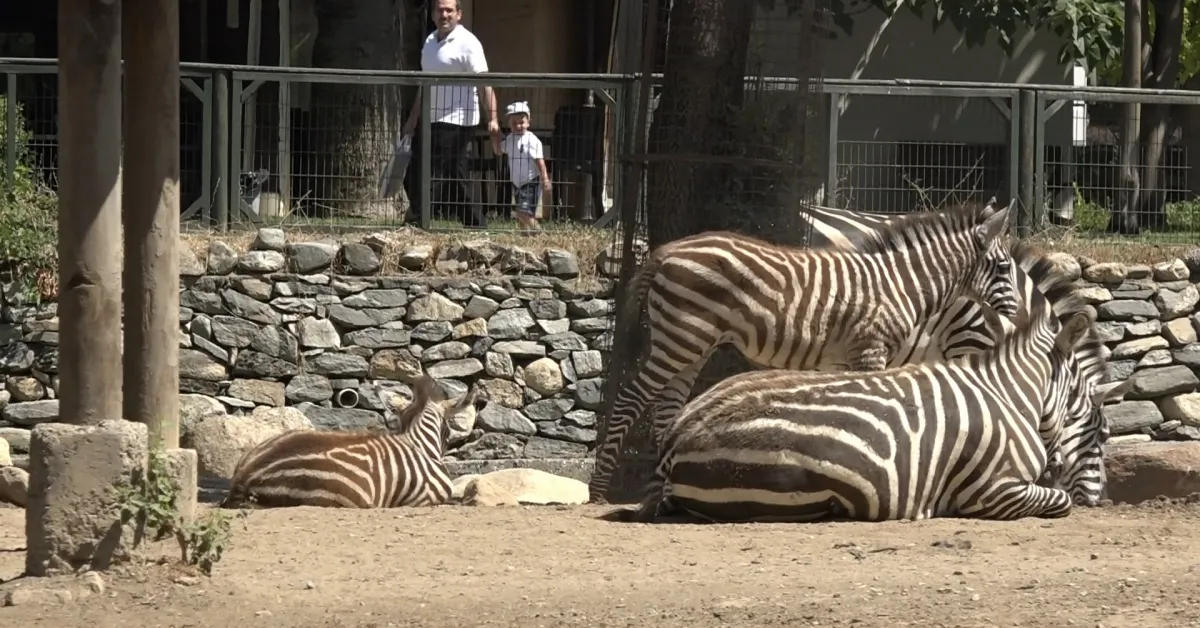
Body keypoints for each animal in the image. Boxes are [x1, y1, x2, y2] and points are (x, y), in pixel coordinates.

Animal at [588, 203, 1018, 502]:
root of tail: (667, 250)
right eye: (1002, 267)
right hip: (680, 338)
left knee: (666, 408)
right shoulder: (870, 348)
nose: (1013, 318)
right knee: (629, 399)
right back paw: (598, 488)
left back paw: (658, 483)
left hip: (690, 343)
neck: (903, 284)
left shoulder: (844, 357)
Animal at [601, 245, 1130, 524]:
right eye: (1102, 430)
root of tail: (679, 442)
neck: (1012, 393)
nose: (1100, 499)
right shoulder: (990, 489)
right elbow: (1058, 500)